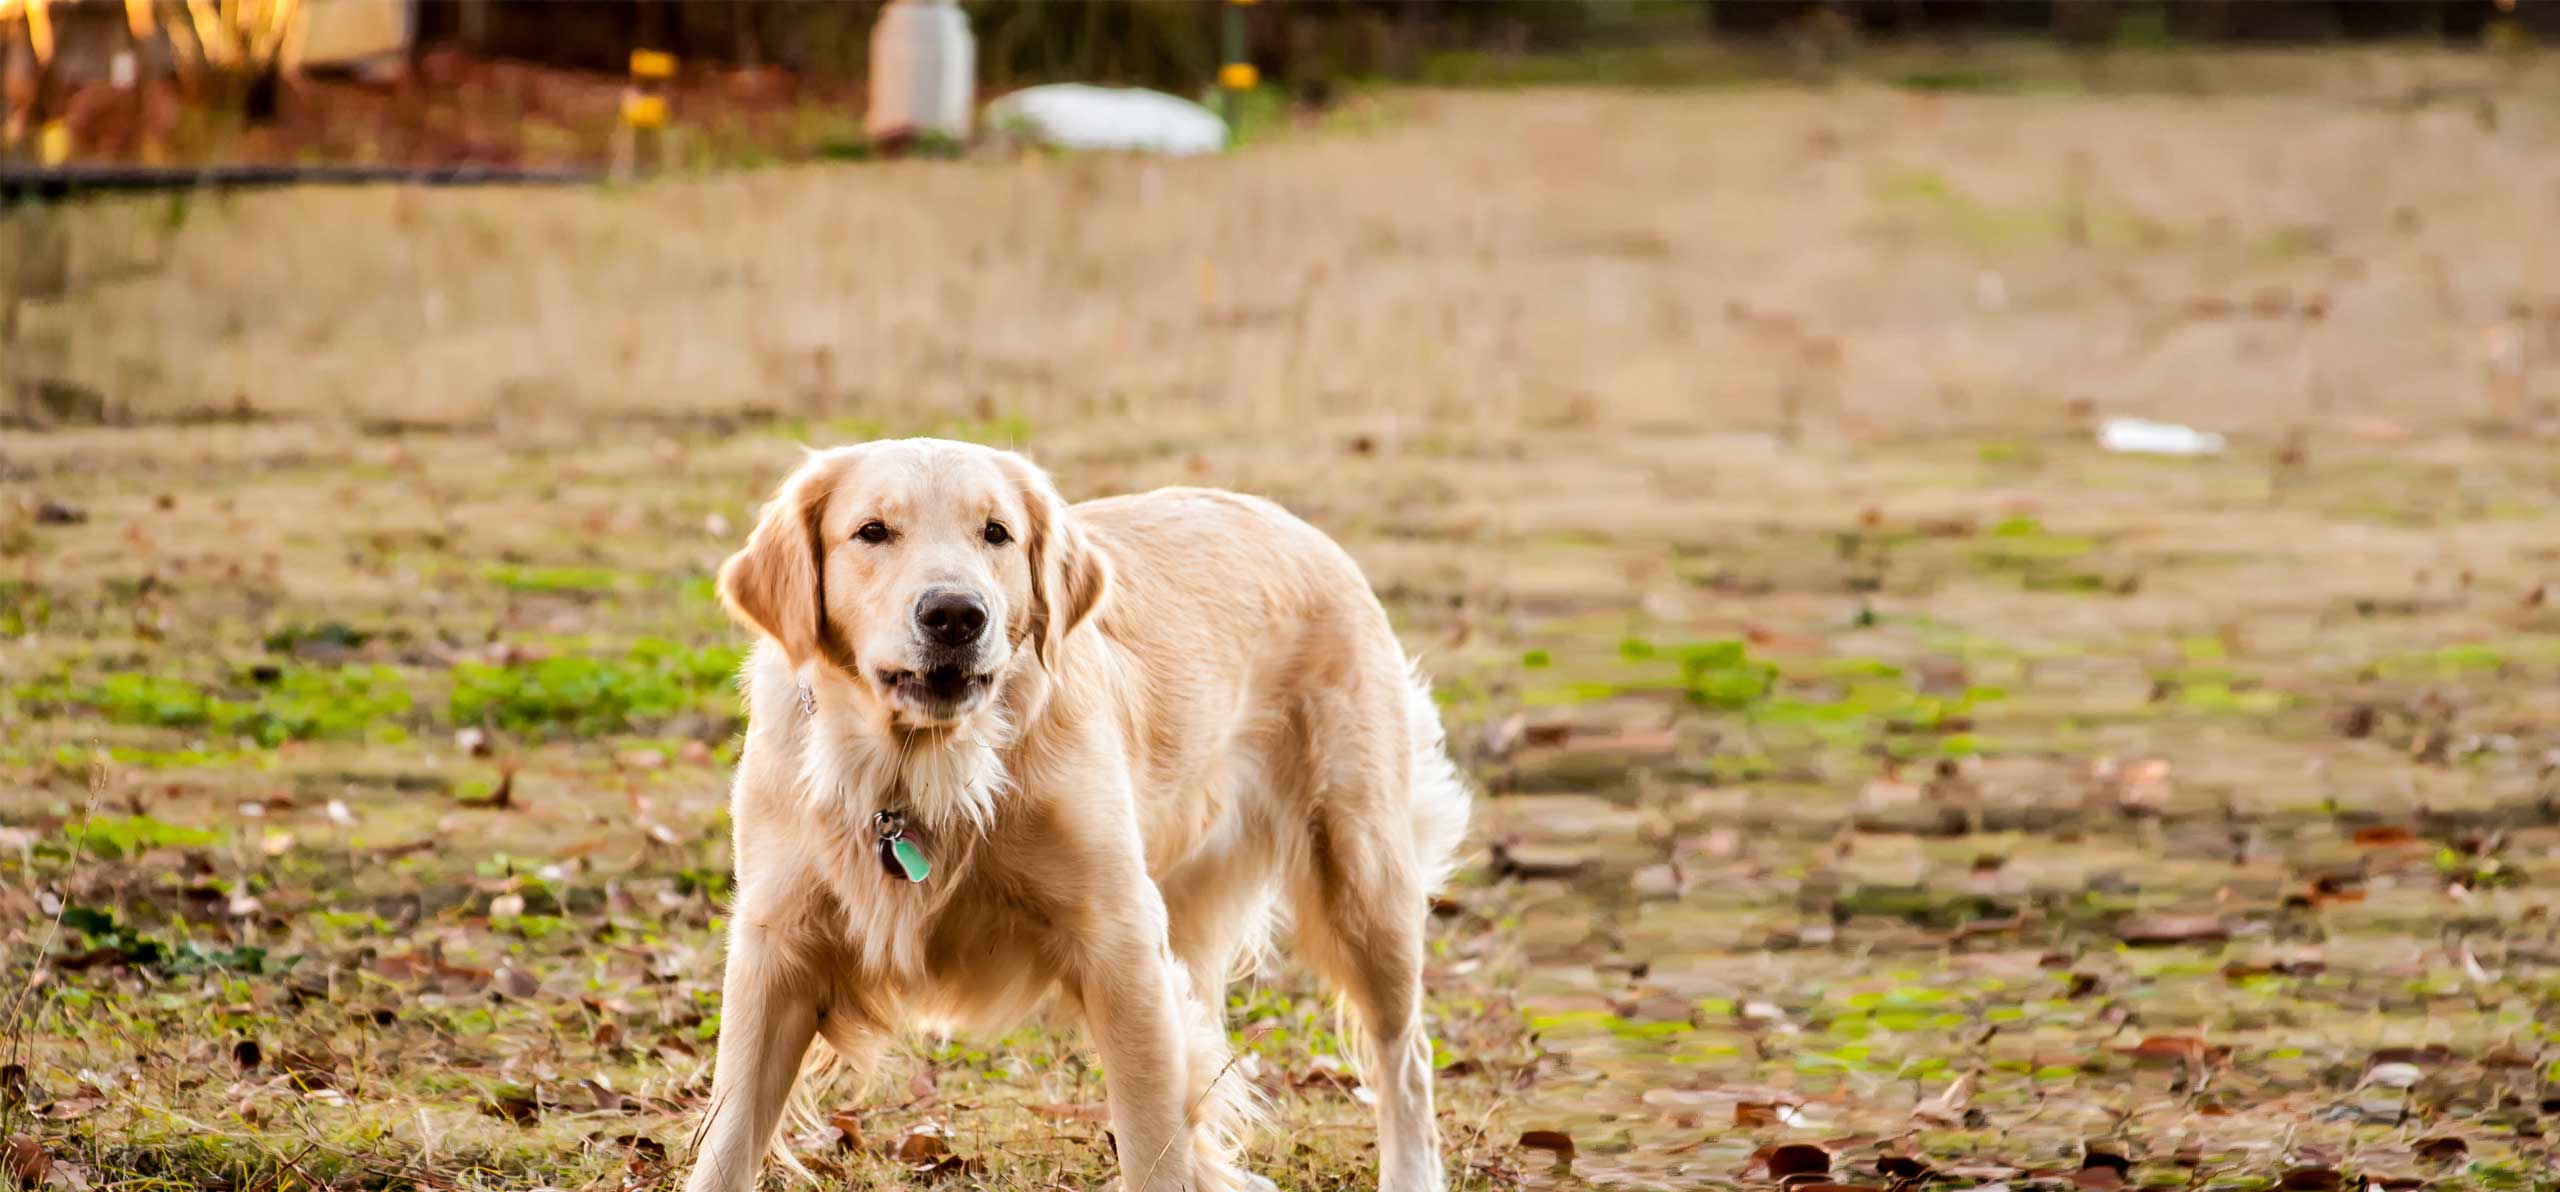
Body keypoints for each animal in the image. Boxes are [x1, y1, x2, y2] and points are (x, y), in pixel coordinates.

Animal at [680, 437, 1474, 1192]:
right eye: (872, 531)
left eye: (996, 533)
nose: (956, 614)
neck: (924, 772)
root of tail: (1294, 523)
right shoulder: (776, 948)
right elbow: (727, 1136)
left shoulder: (1120, 939)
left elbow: (1153, 1141)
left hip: (1359, 874)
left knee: (1404, 1054)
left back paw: (1411, 1173)